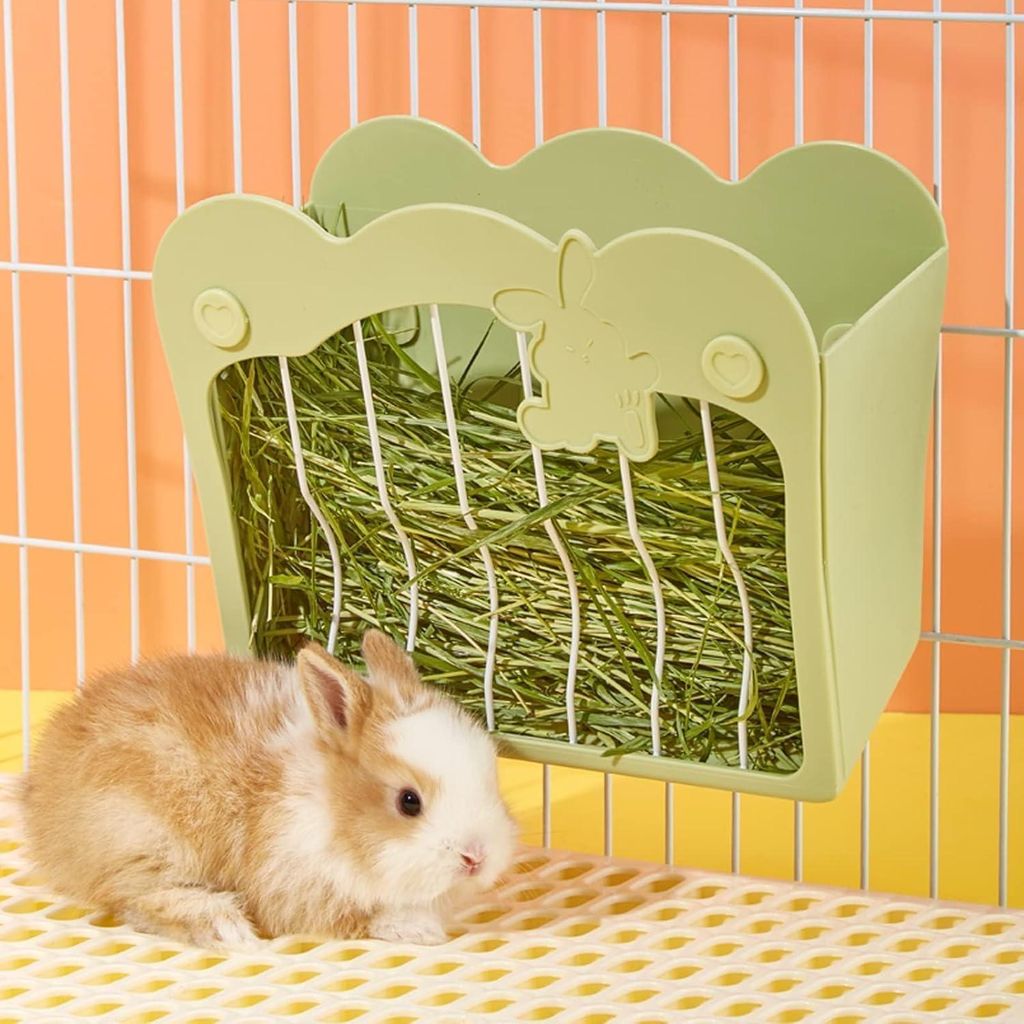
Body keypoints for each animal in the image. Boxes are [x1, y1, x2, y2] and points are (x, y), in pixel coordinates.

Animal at [20, 629, 519, 949]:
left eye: (491, 778)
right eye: (408, 802)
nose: (477, 858)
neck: (327, 807)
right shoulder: (291, 884)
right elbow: (354, 917)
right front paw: (417, 929)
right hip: (147, 843)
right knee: (135, 898)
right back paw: (223, 926)